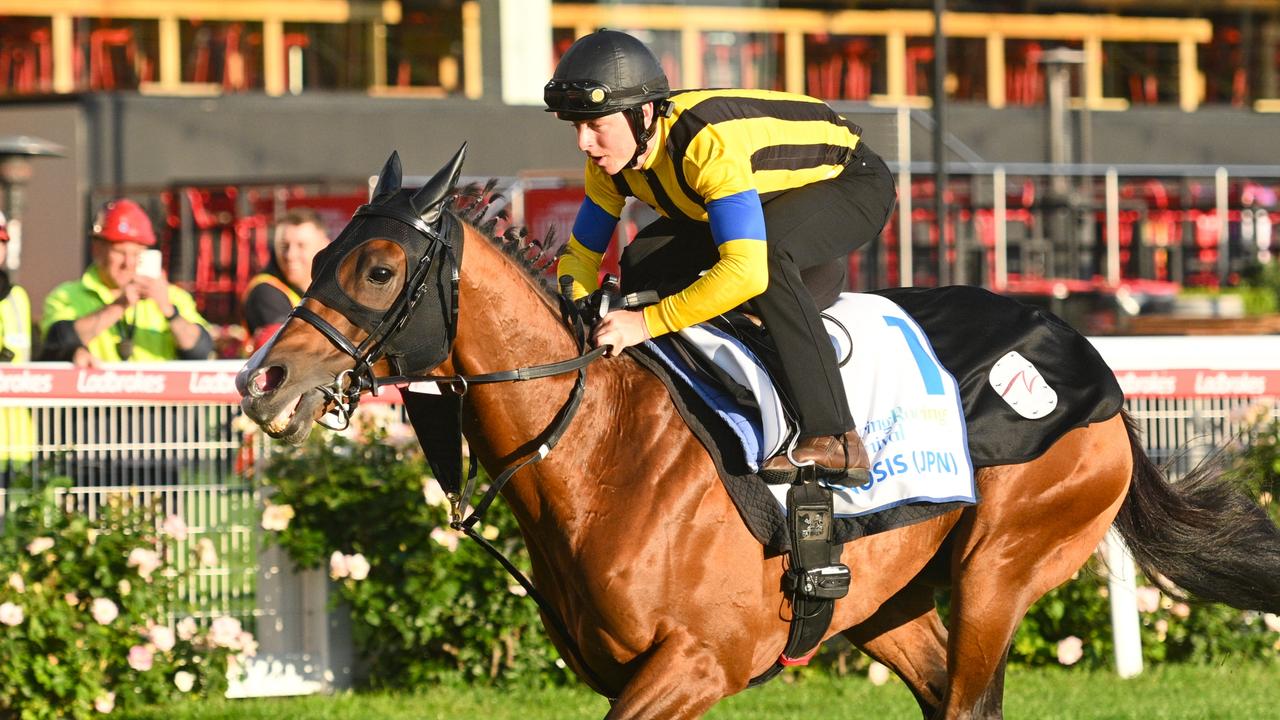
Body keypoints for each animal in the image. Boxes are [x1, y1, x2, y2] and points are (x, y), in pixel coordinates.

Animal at [238, 148, 1280, 712]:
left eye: (378, 270)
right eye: (317, 258)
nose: (261, 378)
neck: (602, 450)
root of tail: (1088, 359)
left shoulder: (693, 666)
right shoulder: (627, 673)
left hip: (1002, 567)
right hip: (884, 605)